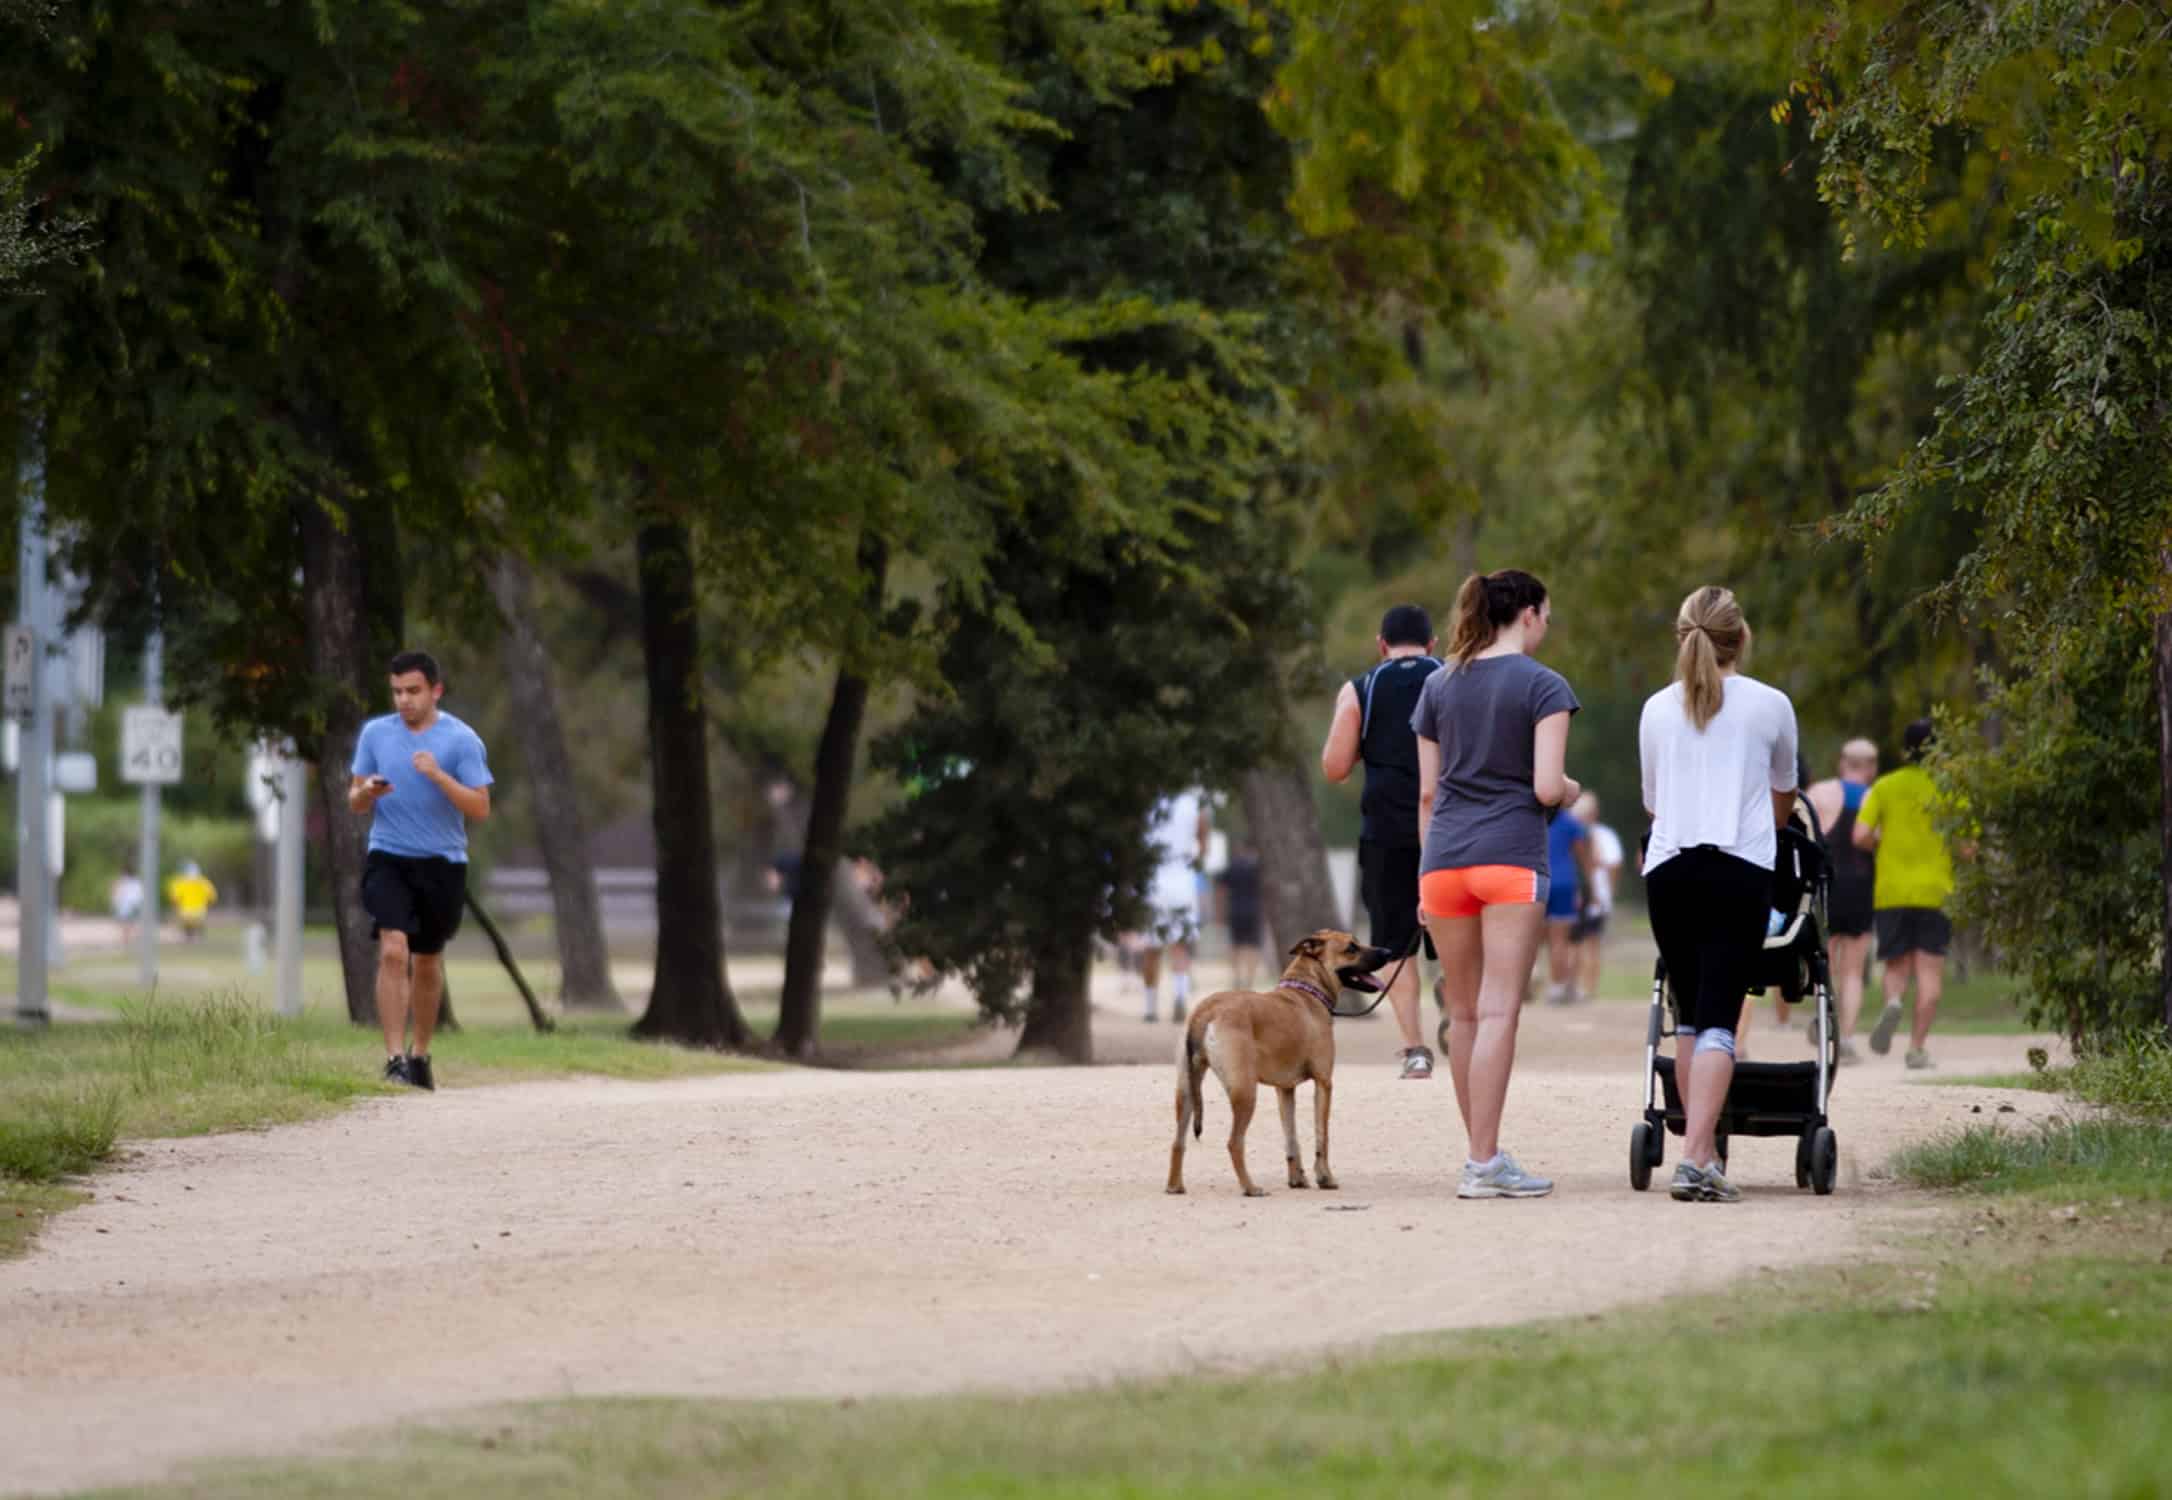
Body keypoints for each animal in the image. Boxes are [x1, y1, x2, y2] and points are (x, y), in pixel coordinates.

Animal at [1166, 930, 1395, 1197]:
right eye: (1351, 948)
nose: (1388, 952)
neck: (1308, 990)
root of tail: (1207, 1009)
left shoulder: (1285, 1089)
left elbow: (1291, 1138)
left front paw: (1297, 1179)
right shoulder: (1324, 1083)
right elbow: (1322, 1136)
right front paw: (1325, 1178)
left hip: (1186, 1091)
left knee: (1178, 1142)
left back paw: (1175, 1186)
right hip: (1245, 1091)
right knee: (1234, 1143)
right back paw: (1250, 1187)